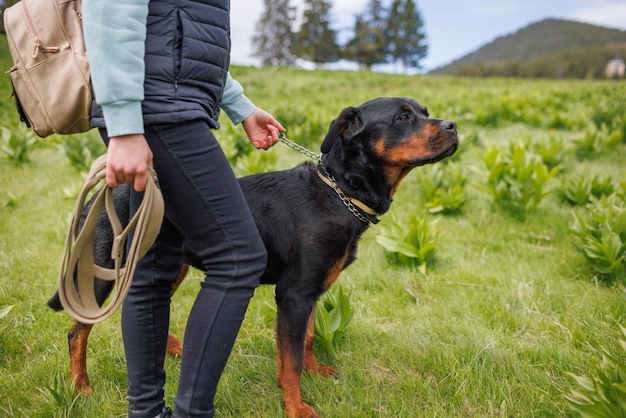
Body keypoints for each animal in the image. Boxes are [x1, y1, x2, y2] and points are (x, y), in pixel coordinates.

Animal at [48, 97, 456, 414]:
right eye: (402, 118)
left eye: (425, 111)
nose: (452, 125)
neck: (338, 192)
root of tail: (99, 195)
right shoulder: (293, 293)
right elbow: (290, 359)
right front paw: (296, 407)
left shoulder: (311, 290)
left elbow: (306, 340)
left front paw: (315, 372)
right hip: (103, 271)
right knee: (77, 330)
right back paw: (80, 386)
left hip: (170, 265)